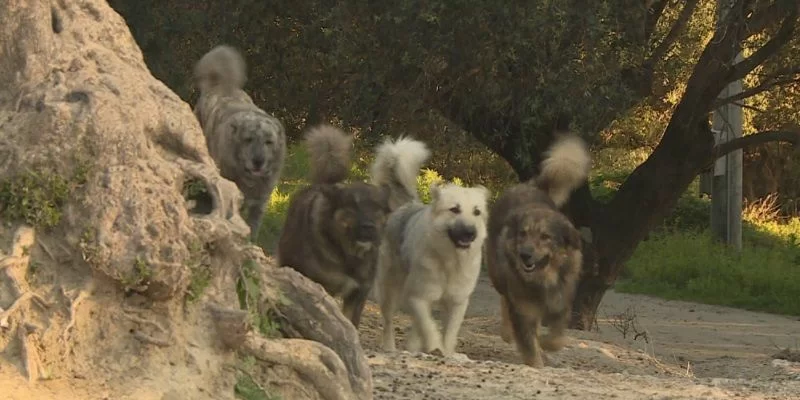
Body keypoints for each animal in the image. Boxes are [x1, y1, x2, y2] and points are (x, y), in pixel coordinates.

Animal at [193, 45, 288, 242]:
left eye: (269, 142)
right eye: (248, 139)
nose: (258, 161)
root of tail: (221, 84)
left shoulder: (259, 204)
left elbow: (253, 229)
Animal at [280, 126, 434, 328]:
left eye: (376, 208)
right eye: (353, 206)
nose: (369, 227)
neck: (349, 255)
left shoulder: (358, 294)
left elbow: (351, 323)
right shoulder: (320, 285)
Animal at [484, 132, 592, 368]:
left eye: (545, 237)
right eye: (523, 234)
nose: (525, 254)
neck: (543, 280)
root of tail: (530, 185)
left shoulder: (561, 305)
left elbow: (557, 339)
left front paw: (546, 345)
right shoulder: (523, 311)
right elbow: (530, 348)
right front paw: (537, 357)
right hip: (499, 277)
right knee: (504, 300)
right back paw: (507, 332)